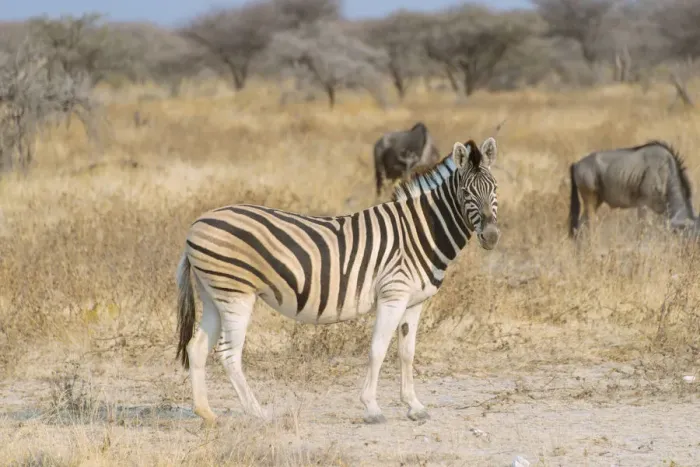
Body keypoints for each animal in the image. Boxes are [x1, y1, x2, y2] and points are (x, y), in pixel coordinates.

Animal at [175, 137, 500, 426]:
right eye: (466, 192)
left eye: (495, 189)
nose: (492, 236)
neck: (419, 231)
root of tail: (196, 224)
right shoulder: (392, 295)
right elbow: (378, 349)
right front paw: (372, 409)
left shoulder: (414, 302)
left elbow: (407, 353)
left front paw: (414, 406)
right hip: (236, 294)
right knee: (229, 354)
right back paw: (259, 414)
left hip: (214, 295)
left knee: (197, 347)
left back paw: (207, 414)